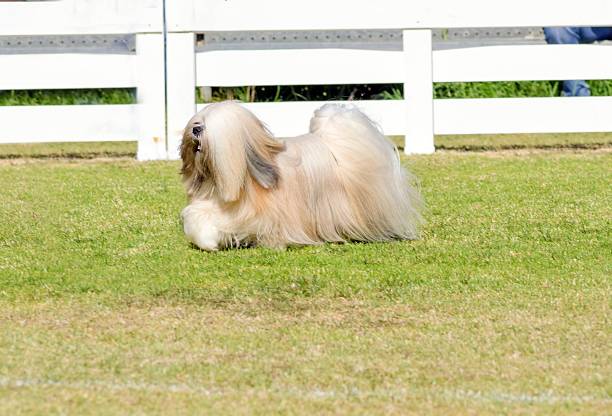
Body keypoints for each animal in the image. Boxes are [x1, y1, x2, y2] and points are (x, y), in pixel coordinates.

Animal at [179, 101, 424, 250]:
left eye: (211, 128)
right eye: (198, 121)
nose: (196, 129)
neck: (245, 181)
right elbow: (200, 217)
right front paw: (208, 239)